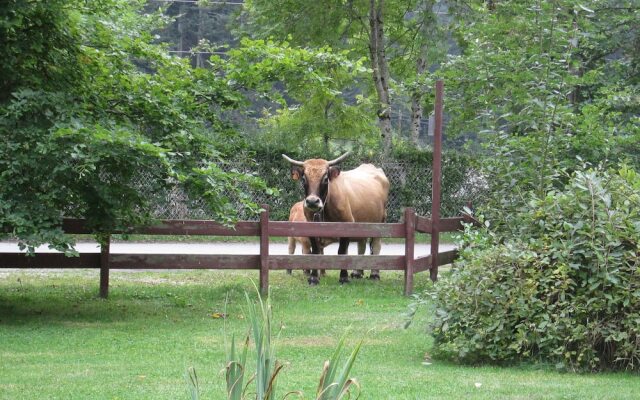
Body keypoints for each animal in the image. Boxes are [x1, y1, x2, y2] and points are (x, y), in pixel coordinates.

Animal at [284, 151, 390, 284]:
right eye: (304, 178)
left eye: (325, 179)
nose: (312, 201)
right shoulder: (311, 228)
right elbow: (315, 252)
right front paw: (313, 278)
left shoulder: (347, 226)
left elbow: (342, 252)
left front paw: (343, 277)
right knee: (361, 245)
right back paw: (357, 273)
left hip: (380, 222)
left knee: (376, 246)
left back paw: (374, 274)